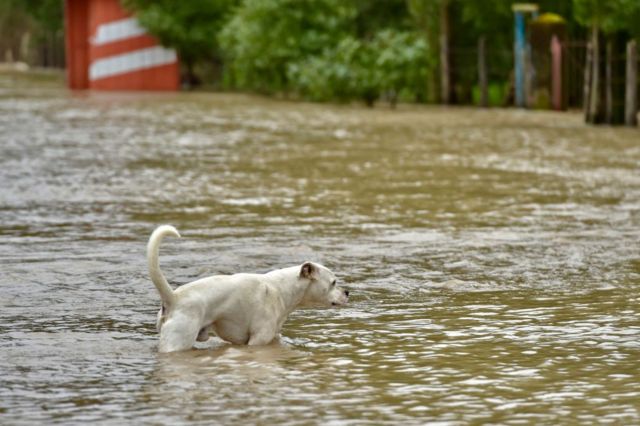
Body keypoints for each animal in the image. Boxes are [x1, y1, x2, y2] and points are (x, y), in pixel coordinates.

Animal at [146, 225, 350, 352]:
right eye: (333, 282)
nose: (348, 292)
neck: (282, 288)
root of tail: (174, 298)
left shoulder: (273, 337)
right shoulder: (258, 340)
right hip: (178, 341)